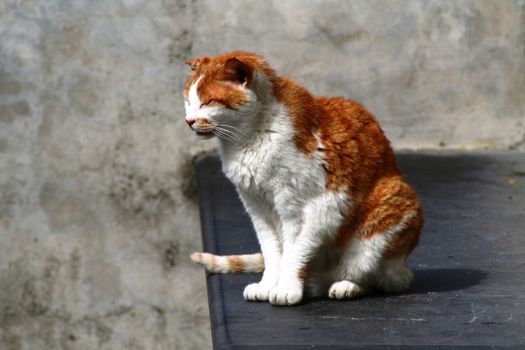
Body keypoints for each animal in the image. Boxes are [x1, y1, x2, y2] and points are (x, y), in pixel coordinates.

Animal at [184, 50, 422, 304]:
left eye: (208, 102)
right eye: (188, 101)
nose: (189, 121)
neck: (247, 140)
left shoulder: (307, 209)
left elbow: (294, 254)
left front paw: (287, 288)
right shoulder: (257, 208)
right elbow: (272, 253)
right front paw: (267, 286)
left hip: (392, 201)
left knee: (375, 275)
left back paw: (343, 285)